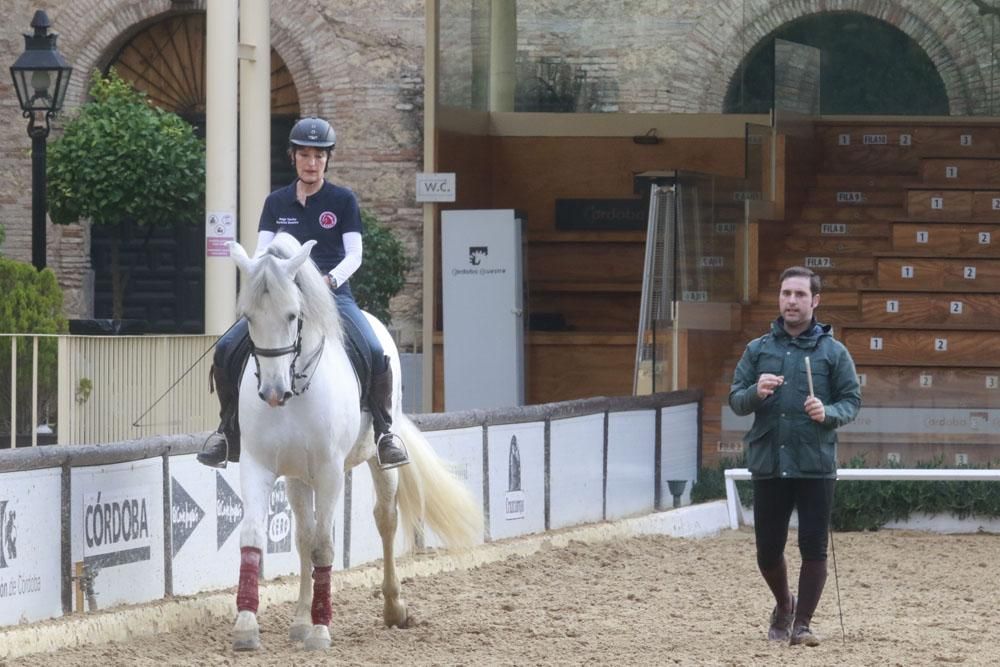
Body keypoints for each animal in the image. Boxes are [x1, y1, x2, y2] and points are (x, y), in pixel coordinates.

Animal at [226, 236, 480, 652]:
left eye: (293, 316)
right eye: (247, 317)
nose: (273, 392)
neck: (297, 387)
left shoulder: (330, 471)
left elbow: (325, 546)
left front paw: (321, 630)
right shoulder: (258, 465)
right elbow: (255, 536)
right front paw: (247, 626)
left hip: (377, 460)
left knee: (385, 520)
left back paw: (393, 608)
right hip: (297, 476)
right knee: (303, 537)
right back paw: (299, 620)